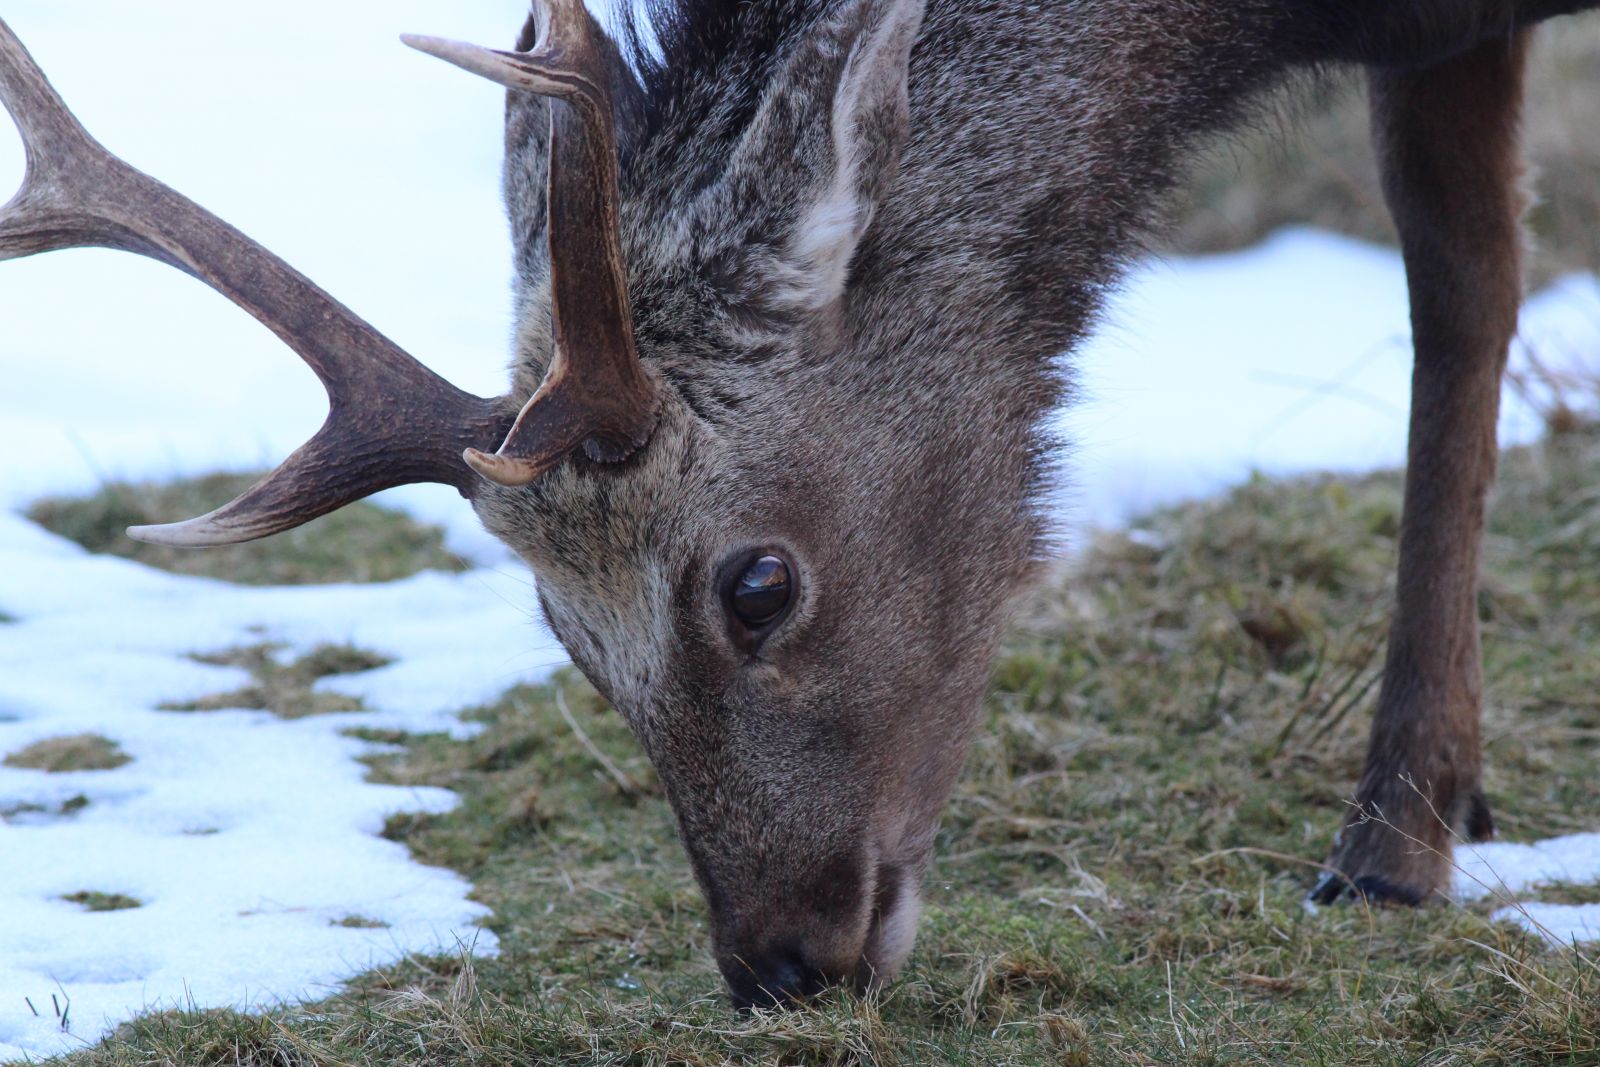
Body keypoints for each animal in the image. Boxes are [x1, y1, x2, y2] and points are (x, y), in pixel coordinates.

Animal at [1, 0, 1594, 1010]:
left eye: (757, 581)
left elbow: (1459, 295)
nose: (775, 967)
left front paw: (1394, 838)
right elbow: (1468, 288)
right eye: (561, 631)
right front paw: (1429, 806)